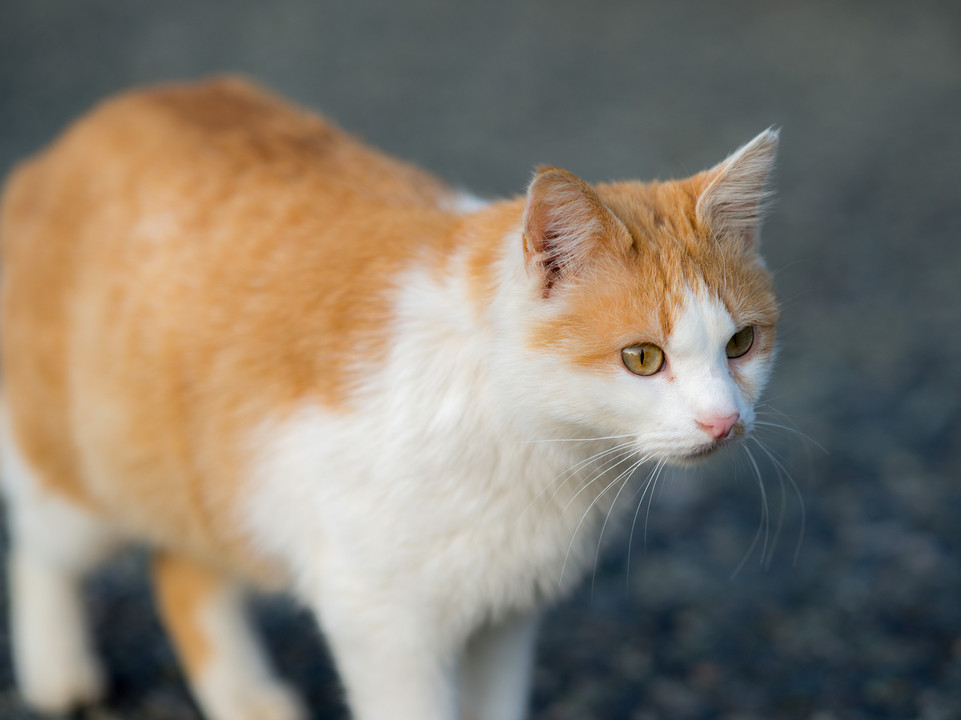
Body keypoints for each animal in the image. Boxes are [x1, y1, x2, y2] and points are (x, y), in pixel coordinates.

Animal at [0, 79, 780, 720]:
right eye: (642, 358)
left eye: (740, 344)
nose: (723, 421)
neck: (528, 446)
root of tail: (74, 140)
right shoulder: (381, 620)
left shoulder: (506, 615)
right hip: (88, 481)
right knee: (43, 553)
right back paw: (58, 672)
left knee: (185, 567)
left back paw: (244, 696)